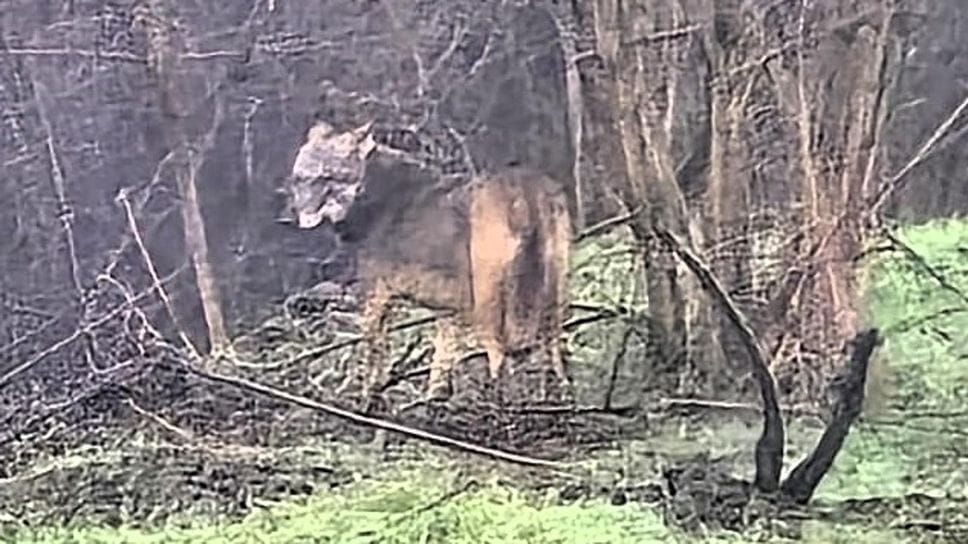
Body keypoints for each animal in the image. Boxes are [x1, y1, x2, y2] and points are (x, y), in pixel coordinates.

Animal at [278, 121, 571, 403]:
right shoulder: (449, 309)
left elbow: (372, 357)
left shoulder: (377, 294)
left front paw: (365, 403)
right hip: (552, 295)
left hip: (490, 298)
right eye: (300, 178)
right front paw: (433, 404)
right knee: (553, 355)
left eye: (326, 176)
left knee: (500, 357)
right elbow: (441, 362)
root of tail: (526, 185)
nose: (295, 218)